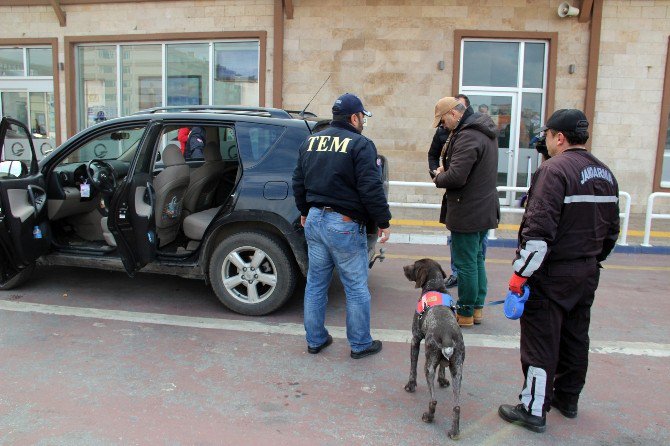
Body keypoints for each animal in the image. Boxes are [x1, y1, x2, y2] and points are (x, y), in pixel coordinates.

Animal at [404, 258, 468, 440]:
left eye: (414, 265)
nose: (404, 267)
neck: (435, 286)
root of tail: (447, 336)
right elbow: (442, 367)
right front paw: (442, 380)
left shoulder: (415, 339)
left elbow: (412, 368)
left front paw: (410, 385)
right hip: (458, 370)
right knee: (457, 407)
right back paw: (454, 431)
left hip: (428, 366)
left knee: (433, 400)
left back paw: (429, 416)